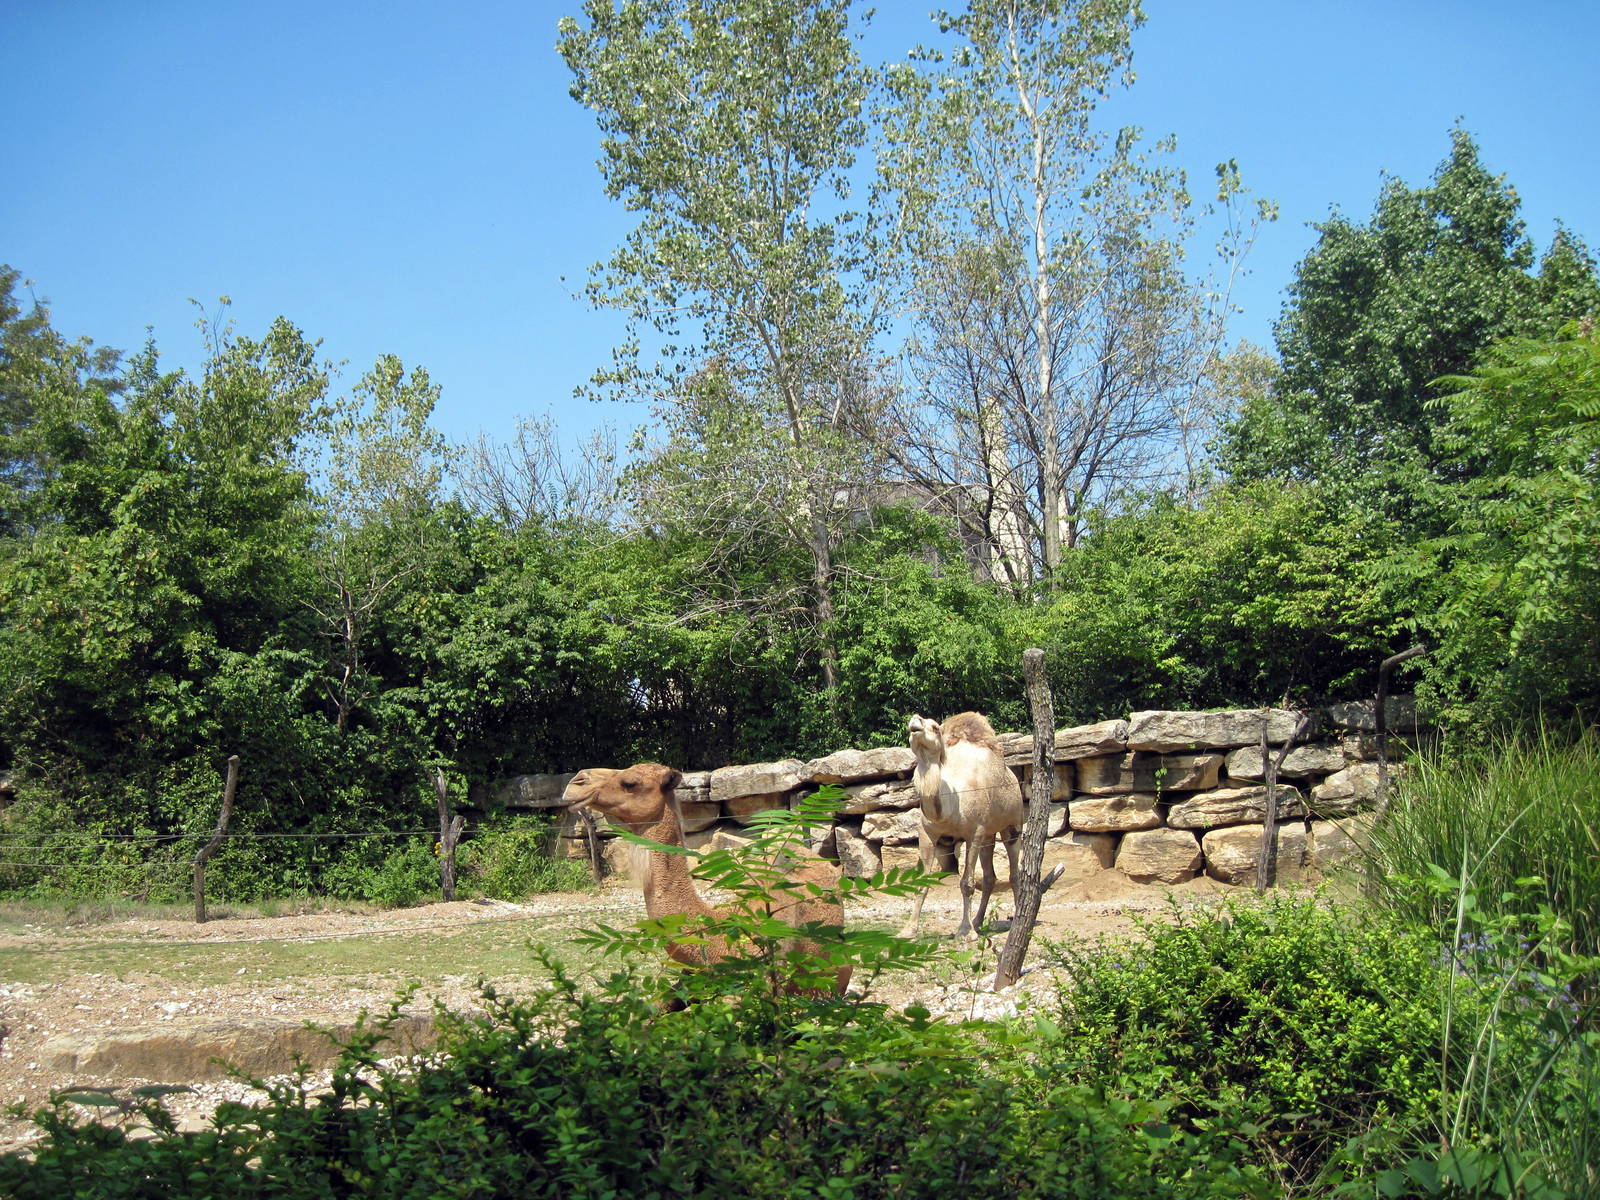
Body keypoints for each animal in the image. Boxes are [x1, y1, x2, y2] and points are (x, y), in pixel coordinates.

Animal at [901, 712, 1023, 939]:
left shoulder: (974, 832)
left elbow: (966, 883)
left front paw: (965, 932)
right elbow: (922, 883)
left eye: (935, 727)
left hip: (1013, 823)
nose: (915, 720)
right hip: (988, 835)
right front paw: (908, 930)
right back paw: (978, 921)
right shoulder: (927, 833)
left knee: (1014, 872)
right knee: (989, 877)